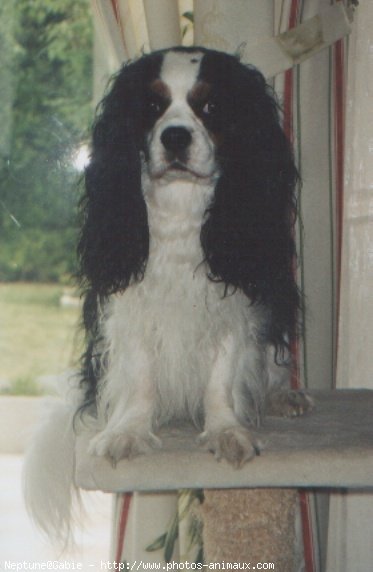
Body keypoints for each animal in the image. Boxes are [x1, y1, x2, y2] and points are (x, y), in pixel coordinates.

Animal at [23, 47, 310, 544]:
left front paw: (226, 430)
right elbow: (139, 375)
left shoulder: (235, 307)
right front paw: (128, 431)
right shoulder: (132, 306)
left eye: (210, 107)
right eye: (153, 107)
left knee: (269, 364)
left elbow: (222, 376)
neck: (181, 206)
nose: (175, 136)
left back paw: (280, 396)